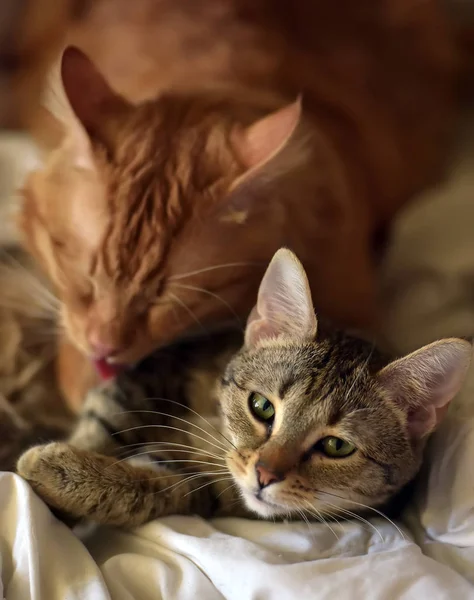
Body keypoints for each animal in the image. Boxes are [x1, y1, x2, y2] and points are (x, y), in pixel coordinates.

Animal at [15, 251, 470, 528]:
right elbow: (105, 423)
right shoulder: (156, 366)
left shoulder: (215, 494)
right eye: (261, 407)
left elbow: (159, 490)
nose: (265, 474)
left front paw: (64, 477)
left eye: (337, 447)